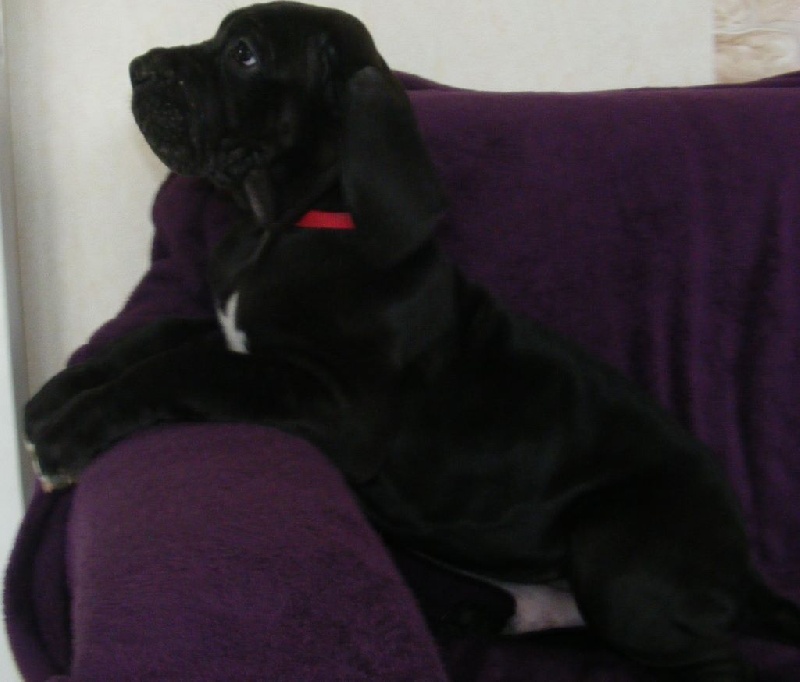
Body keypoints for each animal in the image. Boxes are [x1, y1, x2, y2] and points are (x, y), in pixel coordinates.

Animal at [24, 3, 800, 679]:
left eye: (244, 53)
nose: (138, 69)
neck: (287, 227)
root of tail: (745, 567)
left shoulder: (337, 410)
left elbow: (191, 365)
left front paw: (70, 433)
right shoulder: (233, 326)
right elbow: (164, 332)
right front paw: (55, 394)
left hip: (617, 557)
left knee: (710, 661)